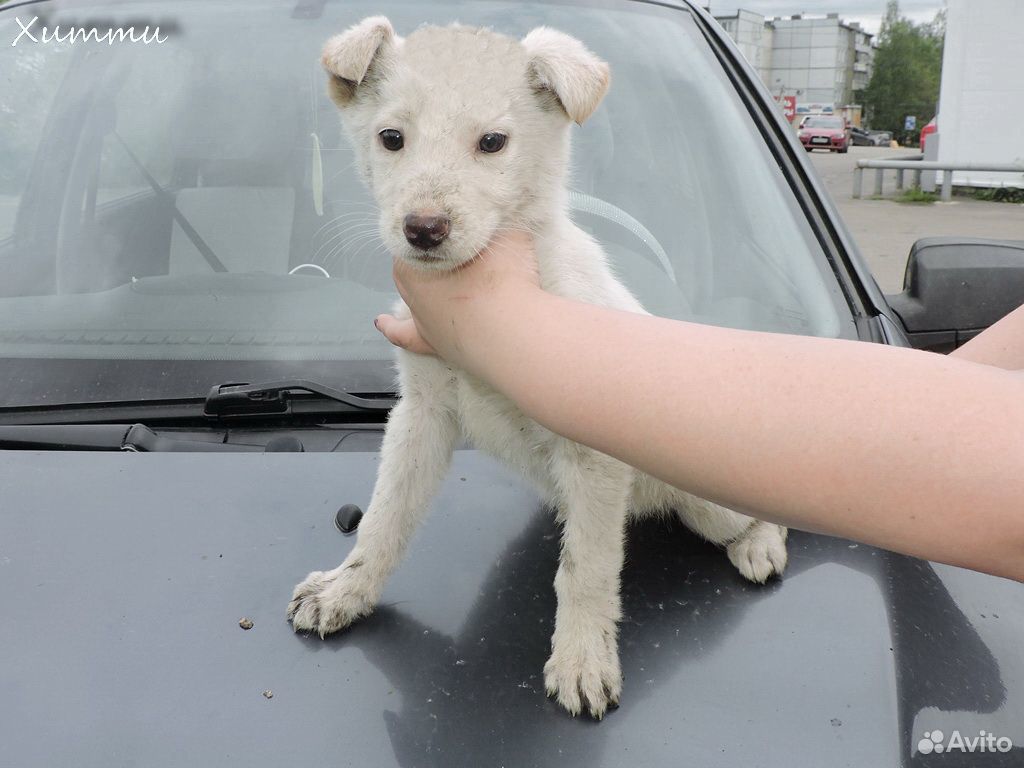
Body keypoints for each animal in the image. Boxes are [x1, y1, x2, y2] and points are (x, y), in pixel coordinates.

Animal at [290, 15, 790, 720]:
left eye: (493, 142)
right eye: (391, 138)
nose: (423, 229)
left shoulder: (595, 449)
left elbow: (585, 569)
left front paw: (582, 659)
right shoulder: (421, 416)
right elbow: (386, 517)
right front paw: (346, 590)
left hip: (704, 492)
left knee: (760, 506)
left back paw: (760, 544)